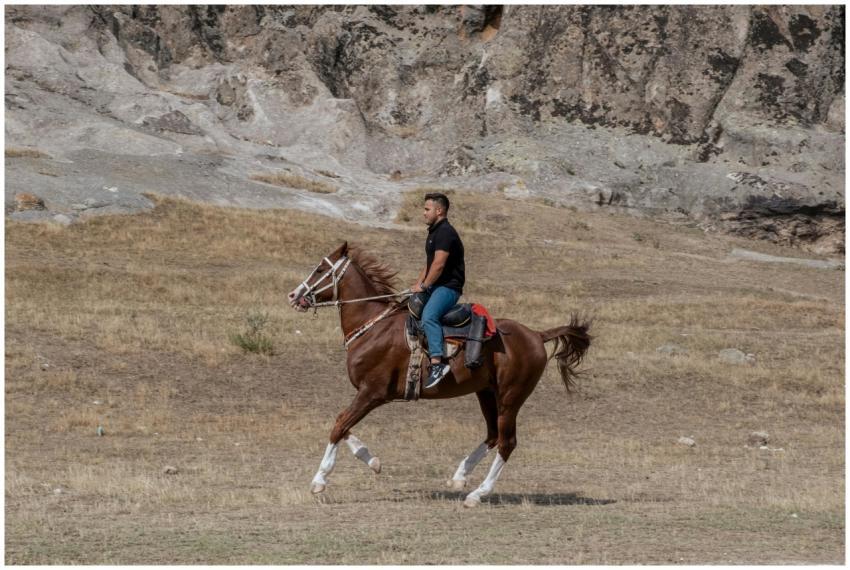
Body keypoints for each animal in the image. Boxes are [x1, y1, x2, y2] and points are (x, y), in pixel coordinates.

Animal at [287, 242, 592, 507]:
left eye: (319, 270)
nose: (293, 296)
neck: (373, 326)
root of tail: (536, 335)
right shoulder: (368, 395)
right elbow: (343, 424)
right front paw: (373, 461)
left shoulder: (372, 393)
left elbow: (339, 425)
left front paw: (319, 480)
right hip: (486, 393)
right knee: (492, 435)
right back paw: (460, 476)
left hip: (510, 398)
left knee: (507, 443)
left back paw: (477, 494)